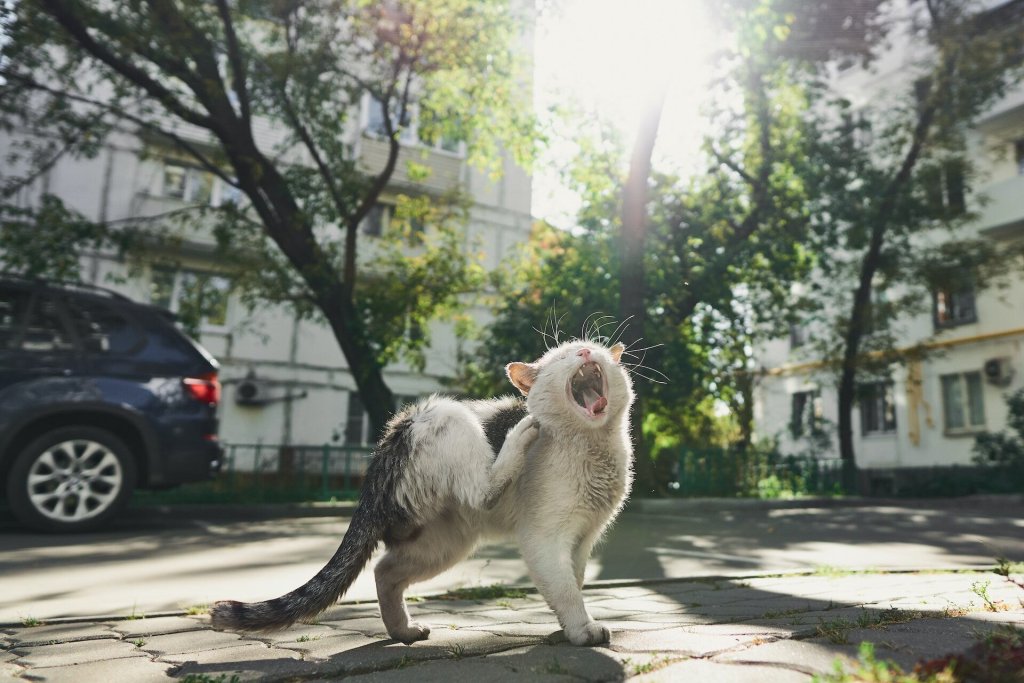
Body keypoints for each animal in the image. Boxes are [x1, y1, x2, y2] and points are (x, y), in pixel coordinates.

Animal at [209, 339, 630, 651]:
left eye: (593, 346)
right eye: (562, 356)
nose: (585, 352)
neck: (593, 448)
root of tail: (383, 449)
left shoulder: (582, 540)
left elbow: (573, 580)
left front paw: (567, 625)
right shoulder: (544, 537)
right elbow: (565, 588)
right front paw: (581, 629)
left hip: (443, 543)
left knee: (384, 571)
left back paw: (403, 631)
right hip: (449, 415)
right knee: (483, 491)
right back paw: (519, 435)